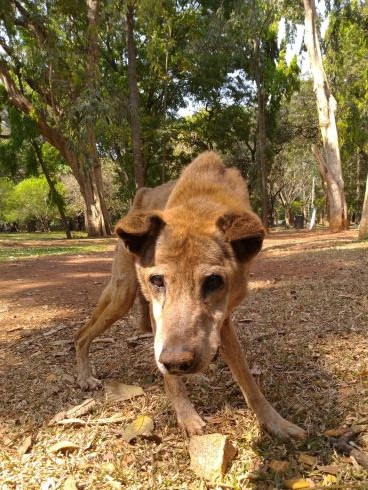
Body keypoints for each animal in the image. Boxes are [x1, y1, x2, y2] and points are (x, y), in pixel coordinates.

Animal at [75, 150, 304, 440]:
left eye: (214, 281)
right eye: (157, 281)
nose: (174, 361)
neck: (200, 205)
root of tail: (144, 193)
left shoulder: (223, 319)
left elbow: (247, 380)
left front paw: (275, 422)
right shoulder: (160, 318)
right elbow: (173, 380)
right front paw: (186, 416)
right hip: (122, 294)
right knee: (82, 334)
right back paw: (84, 375)